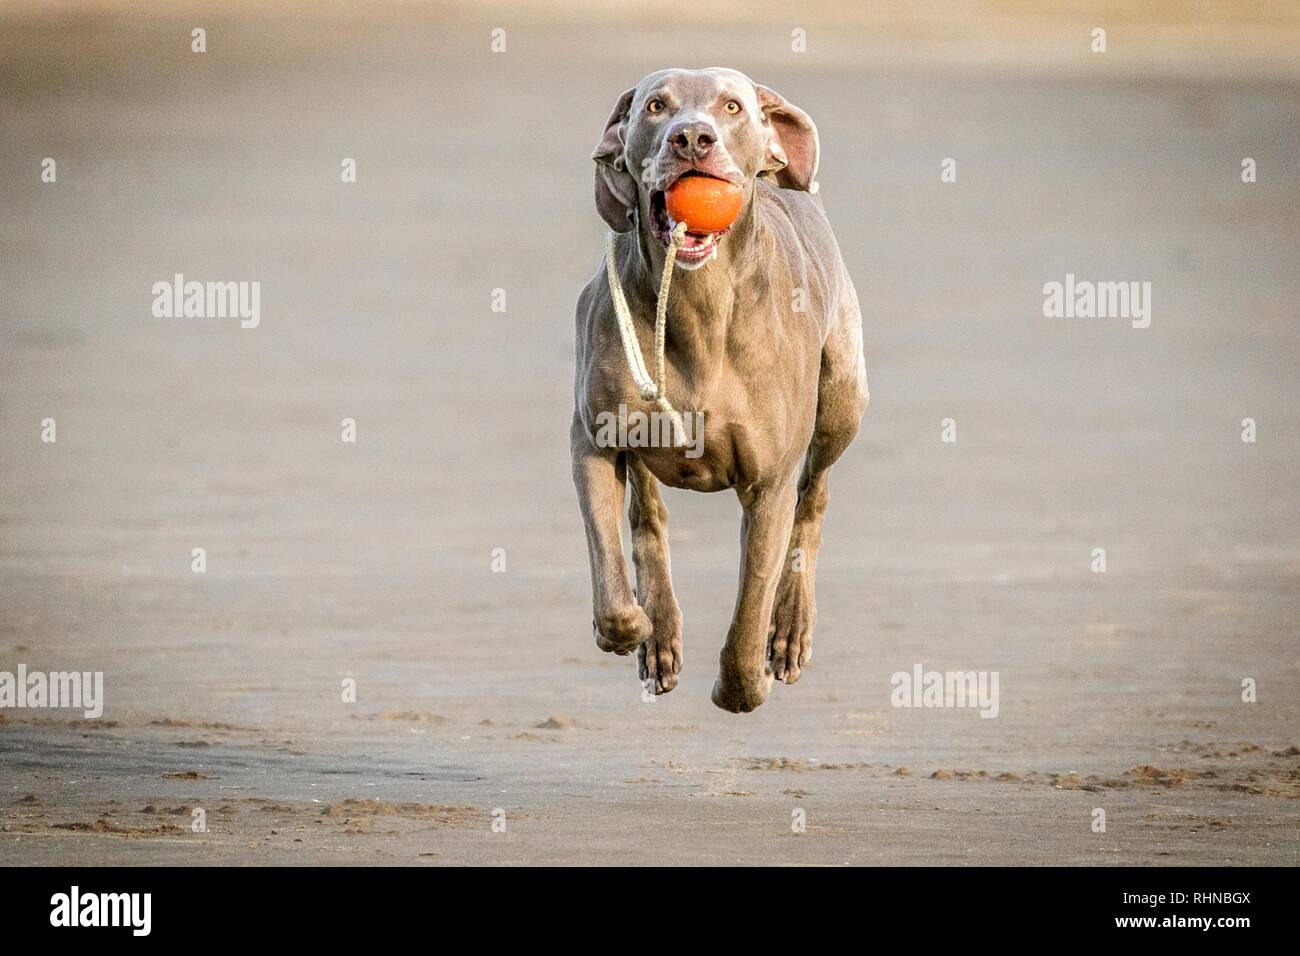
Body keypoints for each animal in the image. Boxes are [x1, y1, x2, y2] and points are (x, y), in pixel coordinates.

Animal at [574, 67, 868, 712]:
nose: (692, 138)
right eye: (656, 106)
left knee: (815, 496)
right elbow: (609, 567)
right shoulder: (592, 440)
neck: (697, 300)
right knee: (646, 516)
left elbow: (751, 601)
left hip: (844, 395)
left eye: (731, 106)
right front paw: (631, 627)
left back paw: (790, 629)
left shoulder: (768, 483)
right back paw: (658, 632)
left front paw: (744, 685)